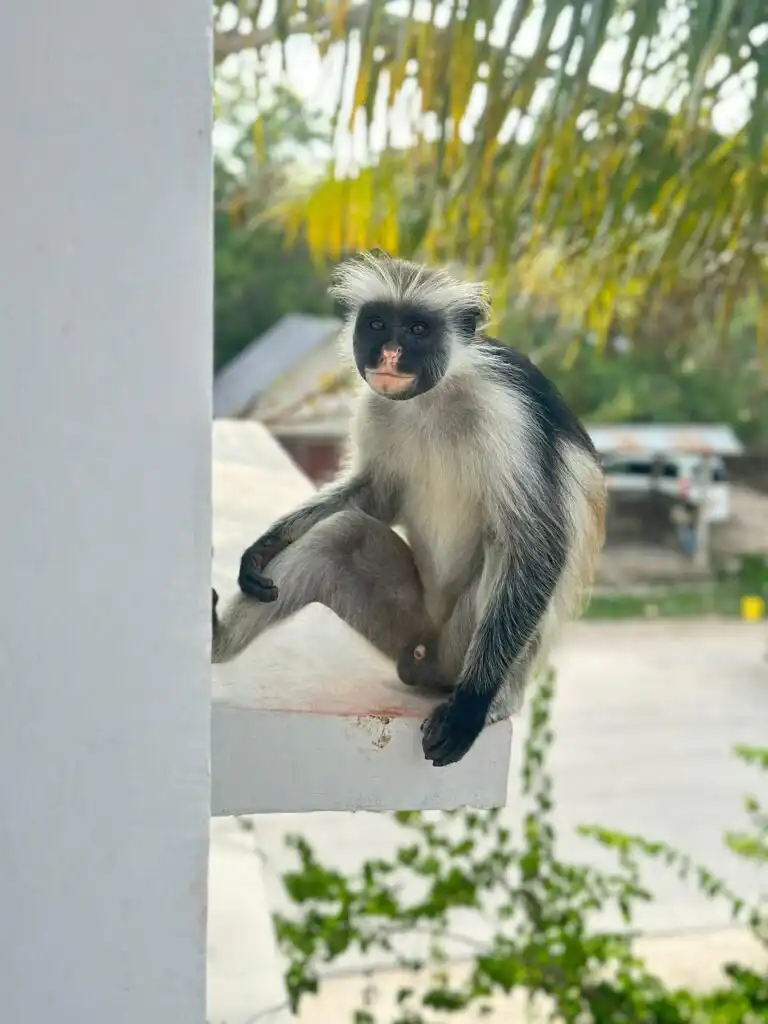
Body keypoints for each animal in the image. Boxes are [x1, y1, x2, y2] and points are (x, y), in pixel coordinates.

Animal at [212, 252, 606, 767]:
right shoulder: (377, 405)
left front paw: (469, 710)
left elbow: (537, 547)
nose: (389, 355)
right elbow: (376, 496)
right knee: (344, 535)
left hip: (464, 647)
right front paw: (265, 545)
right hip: (408, 628)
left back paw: (492, 697)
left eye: (419, 329)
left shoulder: (507, 412)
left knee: (507, 552)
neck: (433, 397)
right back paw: (216, 641)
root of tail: (426, 660)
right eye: (378, 324)